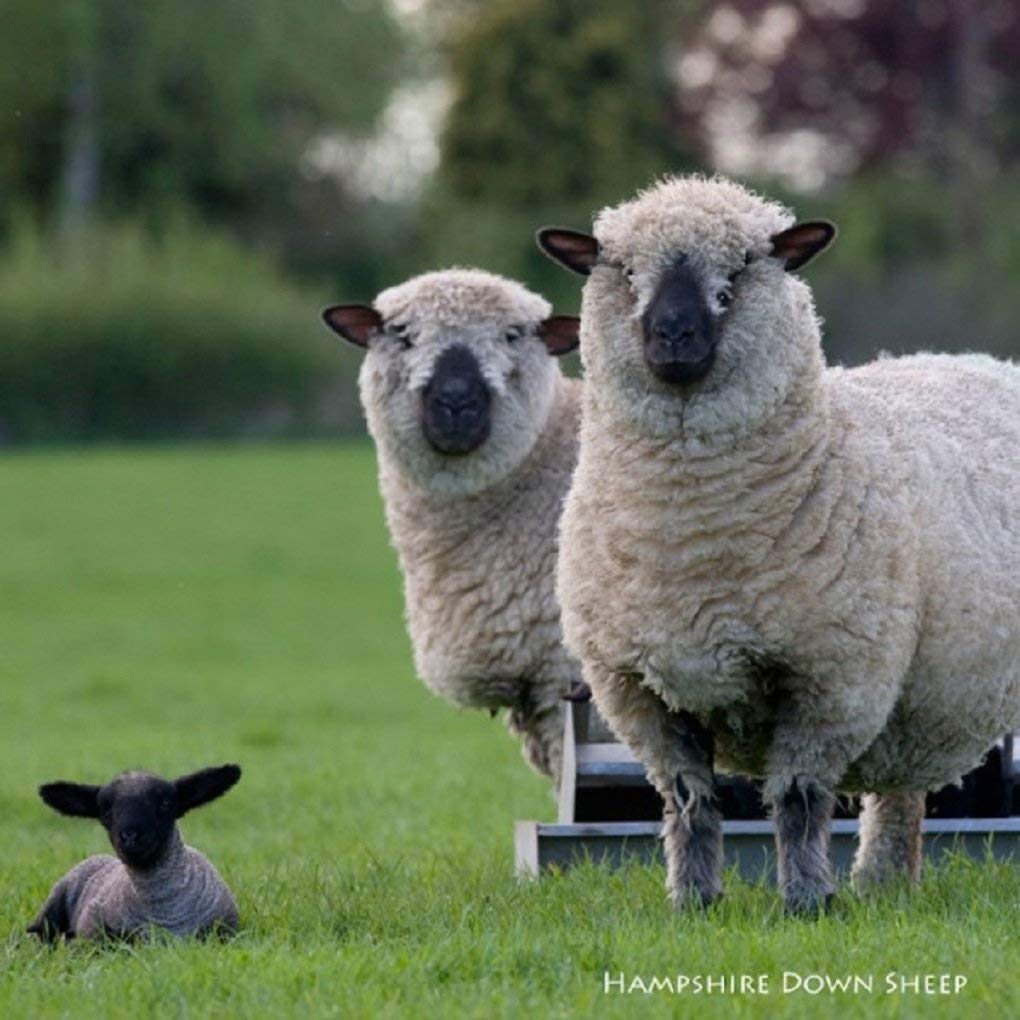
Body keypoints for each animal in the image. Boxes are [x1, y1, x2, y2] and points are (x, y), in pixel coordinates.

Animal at [28, 764, 241, 940]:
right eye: (105, 809)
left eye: (165, 803)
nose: (130, 836)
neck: (163, 910)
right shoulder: (92, 923)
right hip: (56, 898)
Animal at [537, 173, 1020, 915]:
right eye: (621, 270)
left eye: (741, 266)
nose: (672, 333)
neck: (690, 546)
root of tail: (975, 359)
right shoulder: (639, 691)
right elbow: (689, 801)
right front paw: (693, 902)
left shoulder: (831, 679)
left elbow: (796, 800)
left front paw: (807, 902)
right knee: (900, 796)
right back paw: (883, 883)